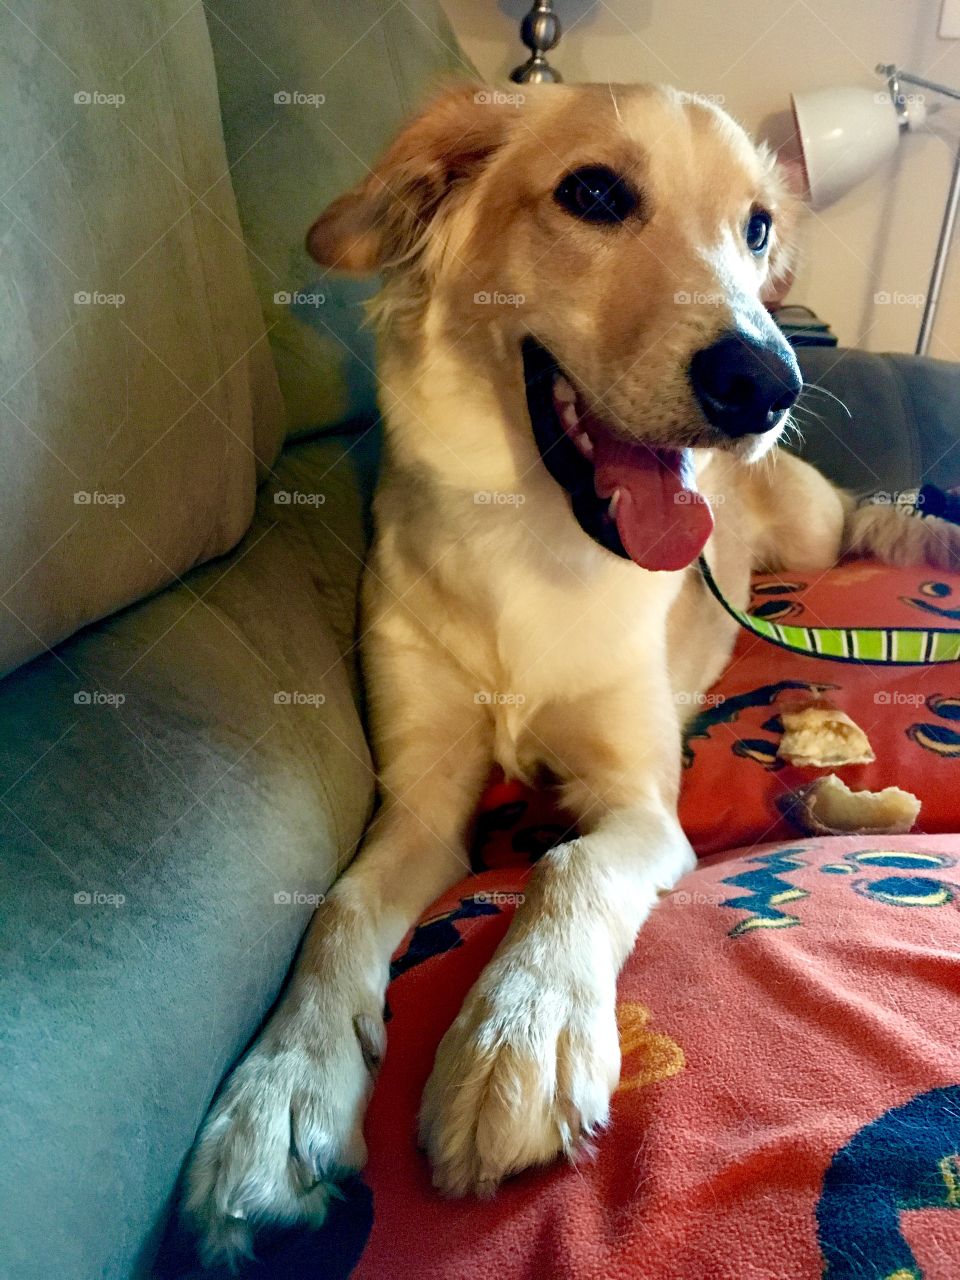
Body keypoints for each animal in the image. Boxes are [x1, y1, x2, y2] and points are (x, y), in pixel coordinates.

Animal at [181, 85, 960, 1264]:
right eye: (593, 193)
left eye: (756, 227)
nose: (764, 384)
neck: (531, 546)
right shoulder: (421, 806)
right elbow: (342, 910)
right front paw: (279, 1097)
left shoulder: (641, 804)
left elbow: (566, 869)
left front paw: (520, 1031)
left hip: (811, 525)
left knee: (859, 519)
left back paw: (915, 534)